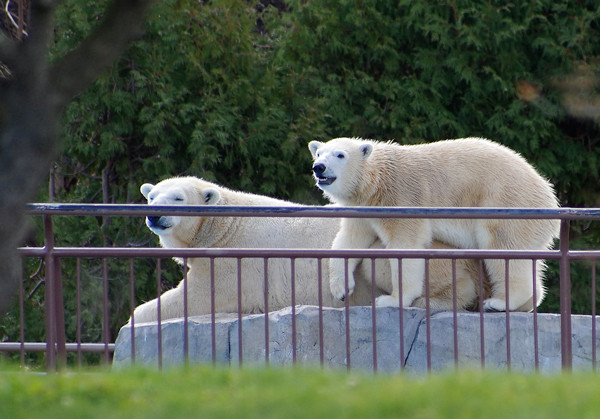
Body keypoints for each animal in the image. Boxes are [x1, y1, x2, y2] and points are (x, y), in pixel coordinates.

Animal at [131, 176, 492, 324]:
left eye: (178, 197)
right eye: (152, 195)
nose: (155, 214)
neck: (224, 225)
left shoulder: (230, 264)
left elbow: (196, 297)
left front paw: (136, 318)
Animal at [312, 138, 560, 312]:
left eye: (340, 154)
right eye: (318, 153)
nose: (319, 167)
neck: (377, 181)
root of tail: (549, 196)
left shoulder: (401, 200)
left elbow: (406, 247)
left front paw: (391, 300)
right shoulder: (363, 209)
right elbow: (350, 240)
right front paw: (340, 288)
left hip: (505, 202)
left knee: (501, 247)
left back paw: (499, 303)